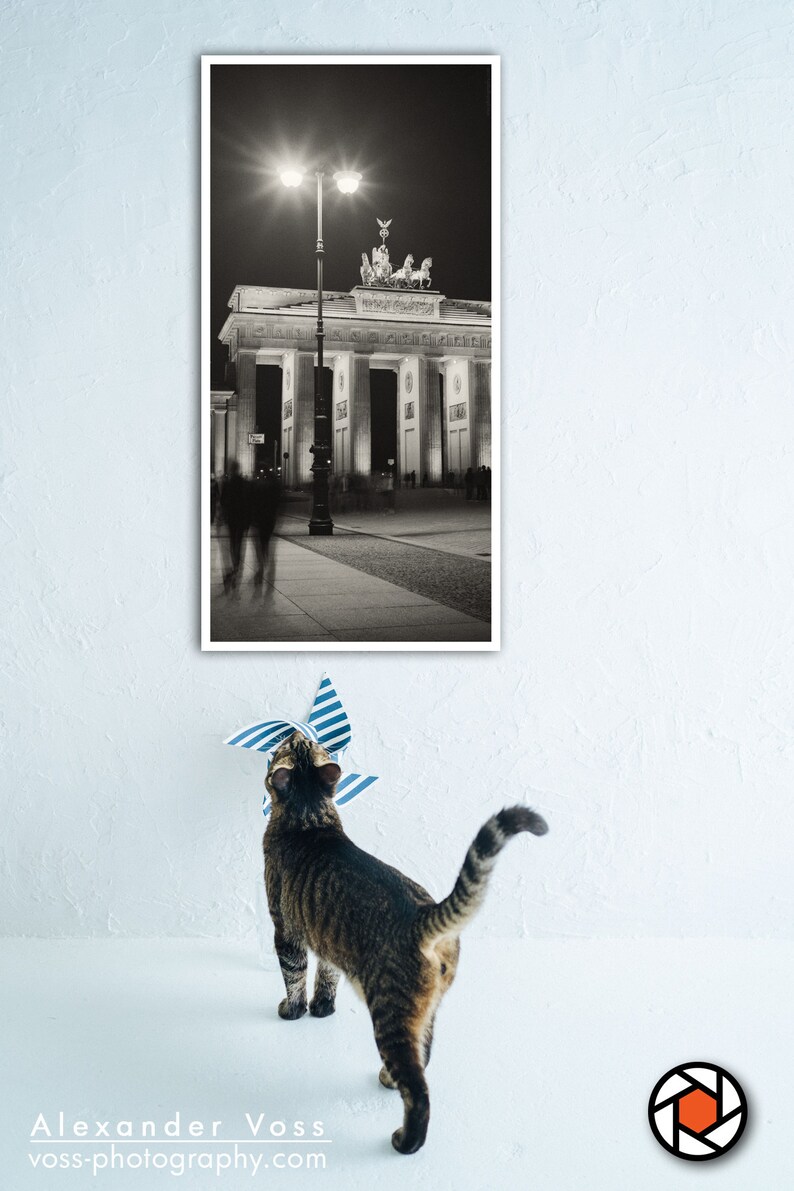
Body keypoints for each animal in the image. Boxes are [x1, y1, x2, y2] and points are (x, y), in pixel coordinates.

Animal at [264, 728, 549, 1148]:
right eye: (310, 745)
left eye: (280, 750)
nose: (295, 731)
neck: (309, 816)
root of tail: (421, 917)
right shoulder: (327, 942)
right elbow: (326, 976)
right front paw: (322, 1009)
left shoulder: (285, 930)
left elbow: (294, 976)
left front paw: (293, 1010)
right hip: (425, 1010)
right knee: (424, 1056)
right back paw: (387, 1079)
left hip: (390, 1014)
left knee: (419, 1087)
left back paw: (405, 1140)